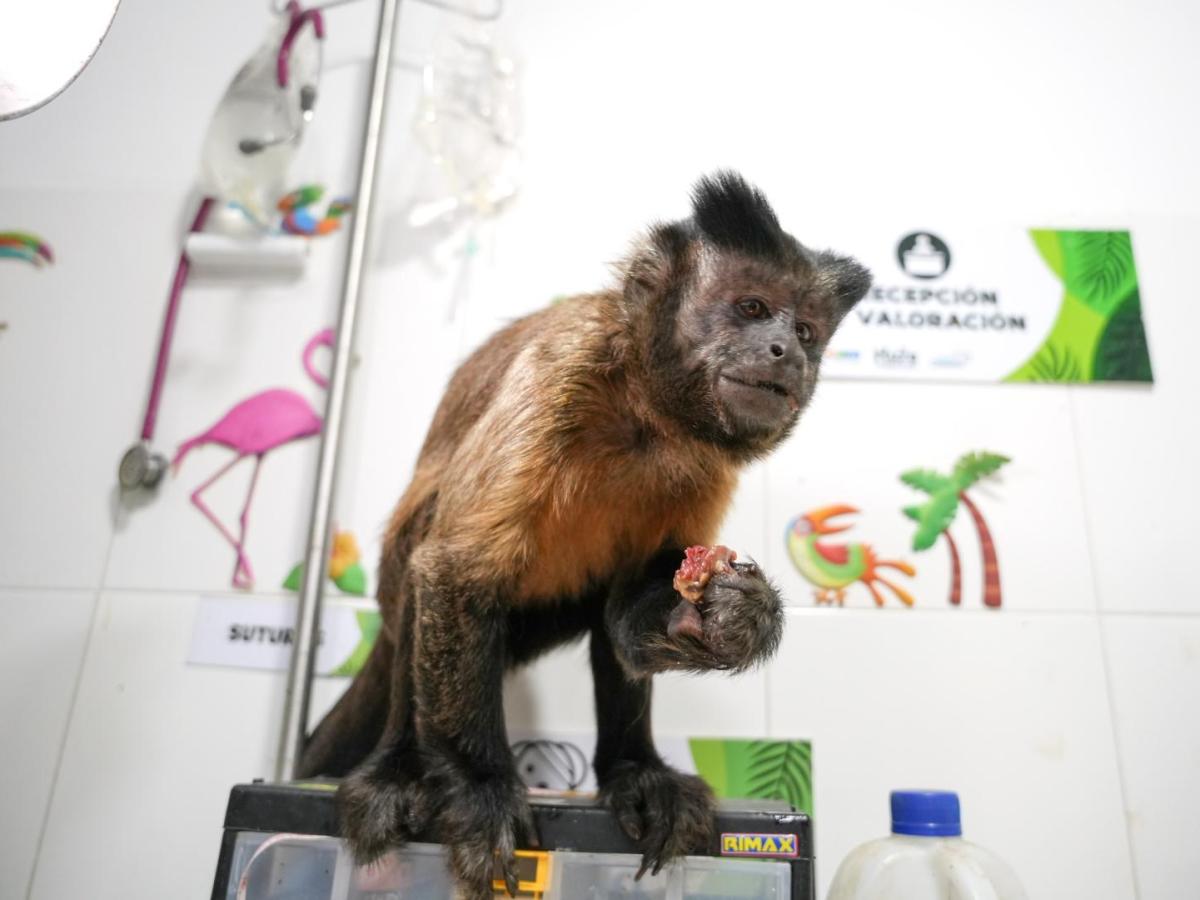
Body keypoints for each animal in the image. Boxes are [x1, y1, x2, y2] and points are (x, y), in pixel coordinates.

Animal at [297, 171, 871, 898]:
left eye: (803, 328)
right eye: (751, 307)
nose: (786, 352)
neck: (645, 415)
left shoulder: (704, 462)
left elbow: (635, 609)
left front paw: (733, 615)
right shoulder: (560, 371)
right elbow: (456, 569)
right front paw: (479, 786)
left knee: (608, 615)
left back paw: (635, 772)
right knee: (428, 557)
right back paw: (399, 766)